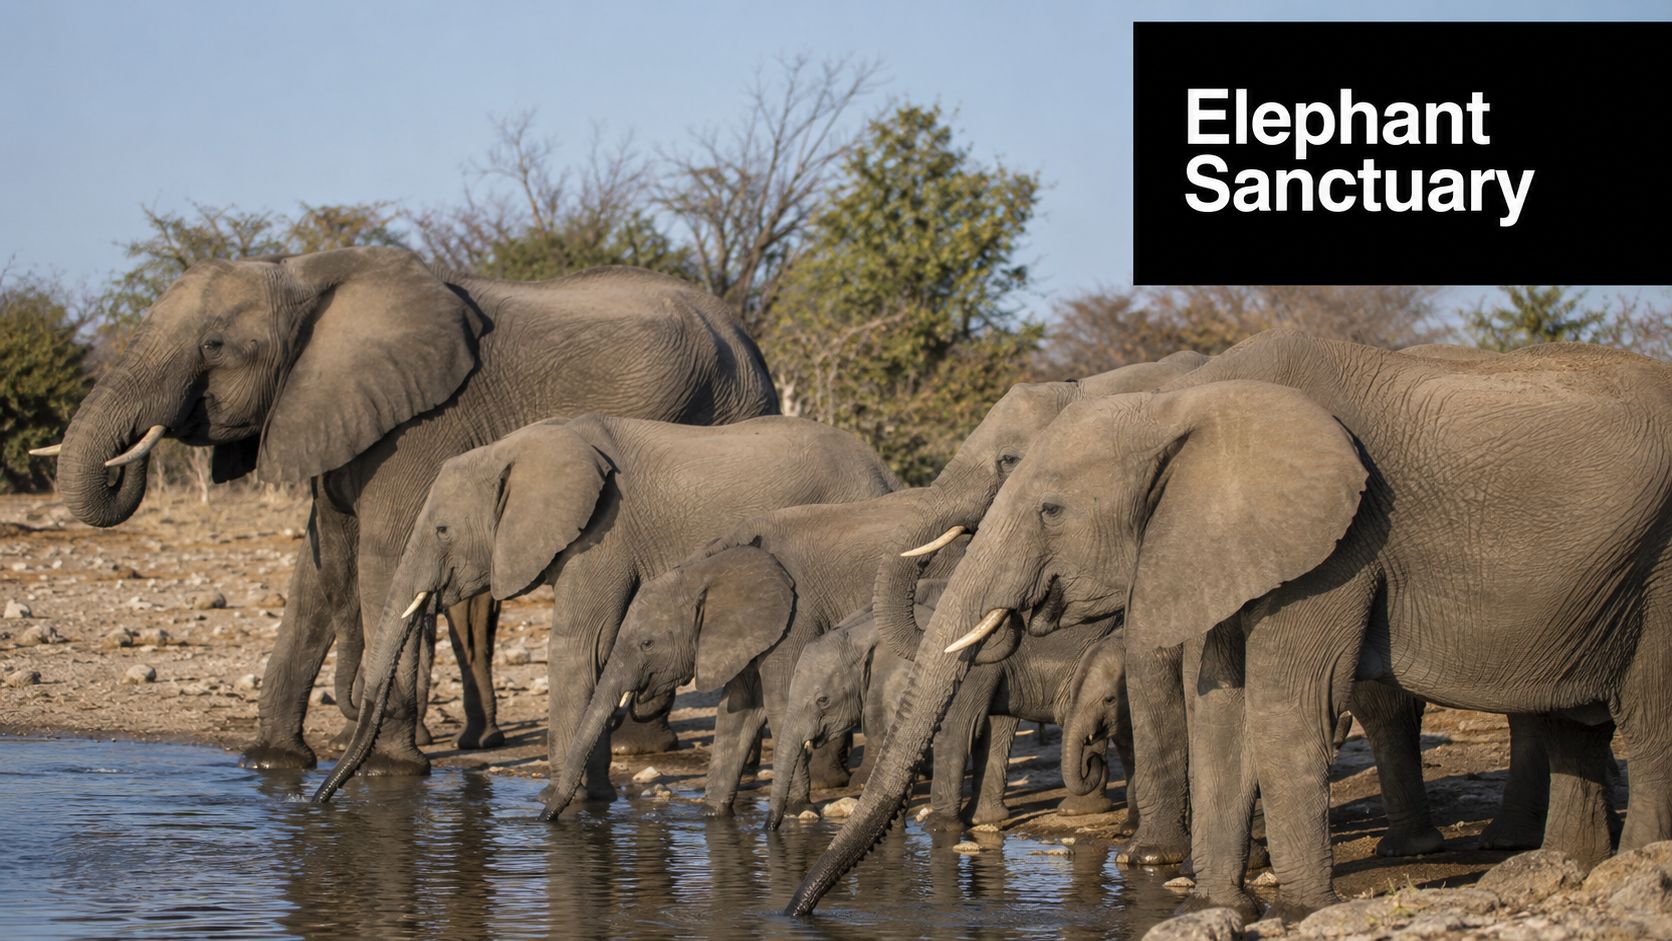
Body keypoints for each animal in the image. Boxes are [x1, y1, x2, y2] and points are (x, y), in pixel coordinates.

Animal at [34, 247, 781, 770]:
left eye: (213, 346)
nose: (133, 449)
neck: (304, 277)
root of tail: (746, 334)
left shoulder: (421, 426)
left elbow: (383, 557)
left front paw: (388, 766)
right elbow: (314, 571)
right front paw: (274, 762)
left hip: (725, 419)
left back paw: (638, 745)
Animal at [310, 412, 899, 800]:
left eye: (441, 530)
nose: (317, 800)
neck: (517, 448)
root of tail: (885, 471)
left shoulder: (604, 532)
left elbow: (578, 646)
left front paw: (565, 810)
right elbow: (599, 653)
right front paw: (596, 801)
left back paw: (830, 781)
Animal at [539, 488, 966, 820]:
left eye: (647, 644)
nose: (546, 816)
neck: (709, 566)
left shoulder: (795, 615)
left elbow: (779, 701)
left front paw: (794, 811)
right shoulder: (745, 633)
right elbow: (739, 709)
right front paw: (713, 812)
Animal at [787, 330, 1672, 920]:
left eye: (1046, 504)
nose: (798, 909)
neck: (1181, 401)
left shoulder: (1339, 541)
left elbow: (1281, 708)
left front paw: (1299, 909)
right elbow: (1219, 704)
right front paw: (1212, 902)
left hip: (1661, 562)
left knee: (1648, 710)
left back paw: (1631, 865)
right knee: (1575, 724)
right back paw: (1563, 862)